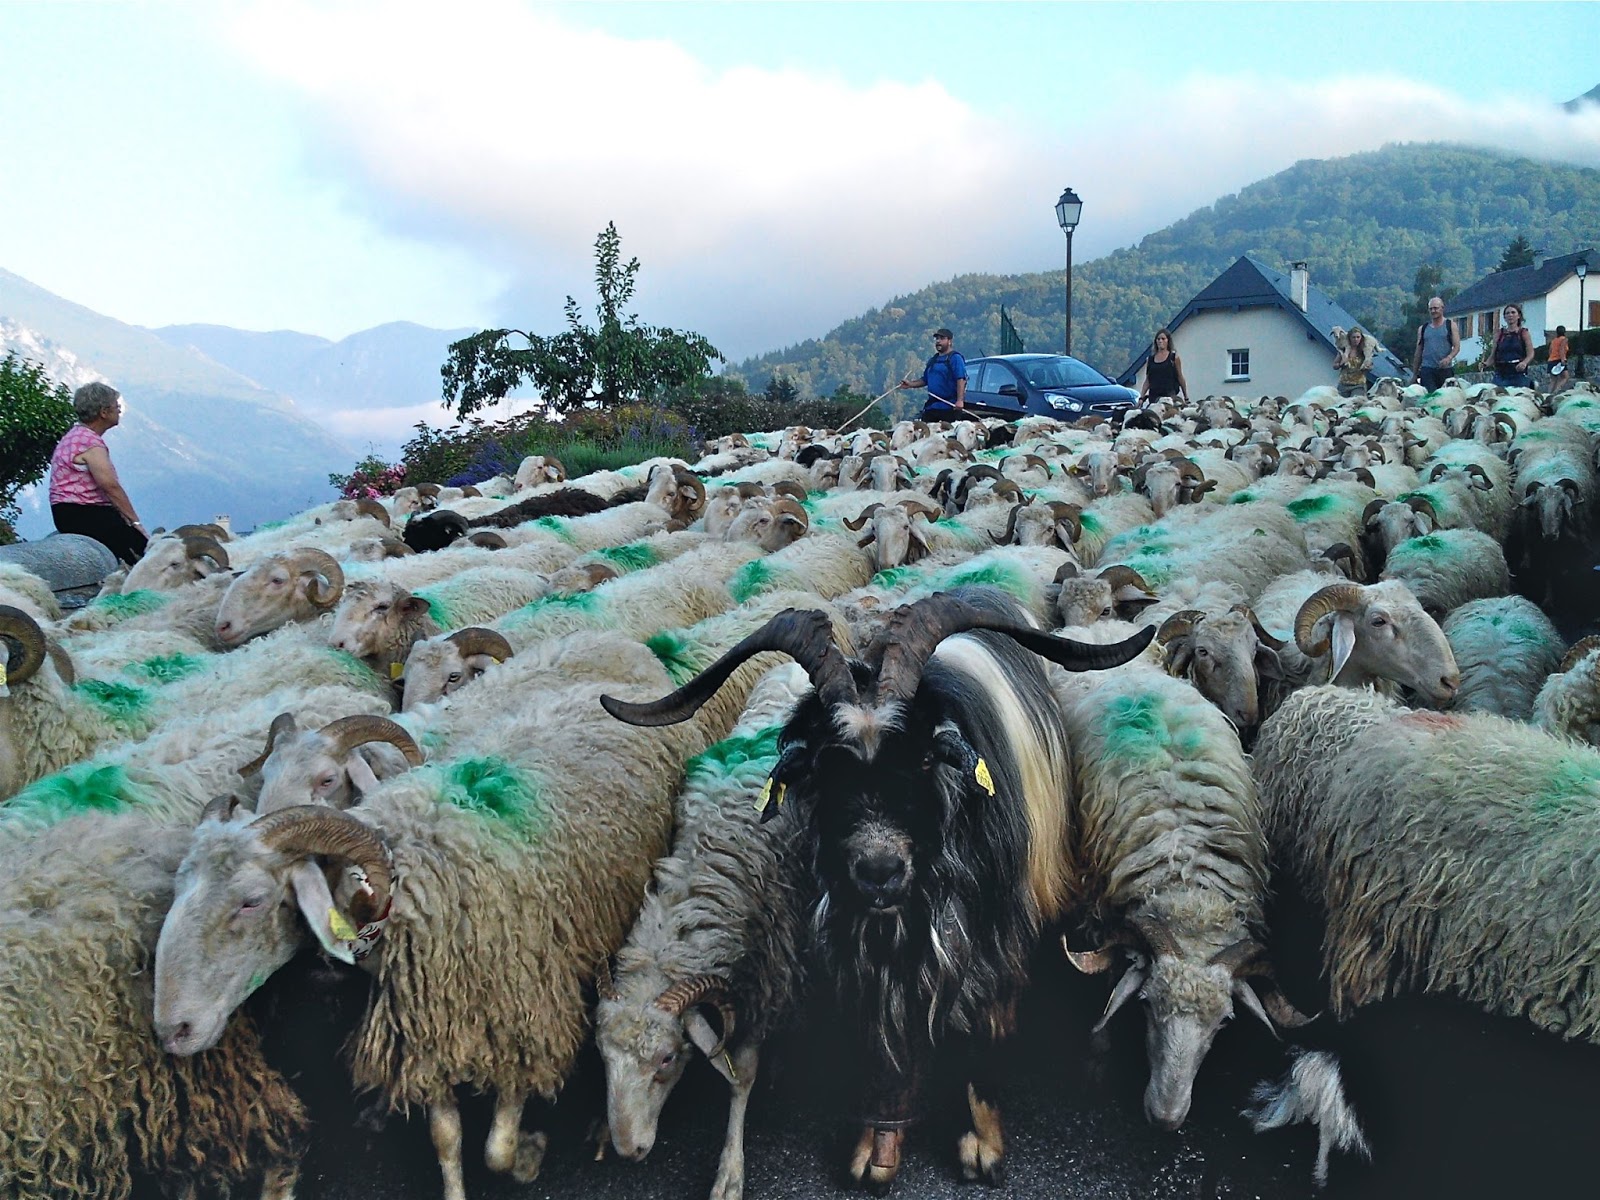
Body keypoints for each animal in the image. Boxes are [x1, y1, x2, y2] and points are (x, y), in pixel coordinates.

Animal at [598, 663, 813, 1200]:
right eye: (603, 1060)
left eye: (668, 1059)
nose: (630, 1151)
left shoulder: (766, 968)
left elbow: (742, 1075)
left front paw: (730, 1172)